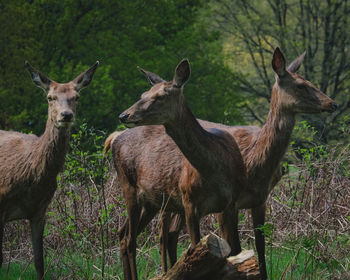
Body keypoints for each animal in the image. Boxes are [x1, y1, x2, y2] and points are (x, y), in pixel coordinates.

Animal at [109, 59, 246, 280]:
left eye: (159, 96)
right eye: (143, 94)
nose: (123, 115)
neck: (216, 172)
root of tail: (114, 140)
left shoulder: (231, 204)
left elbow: (237, 251)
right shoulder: (189, 202)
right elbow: (196, 249)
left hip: (151, 202)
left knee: (123, 233)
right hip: (127, 186)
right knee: (130, 239)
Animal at [148, 47, 340, 278]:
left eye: (309, 81)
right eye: (301, 85)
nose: (333, 103)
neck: (255, 164)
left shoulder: (259, 199)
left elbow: (260, 245)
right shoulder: (227, 204)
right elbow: (234, 248)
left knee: (171, 232)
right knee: (163, 232)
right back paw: (166, 270)